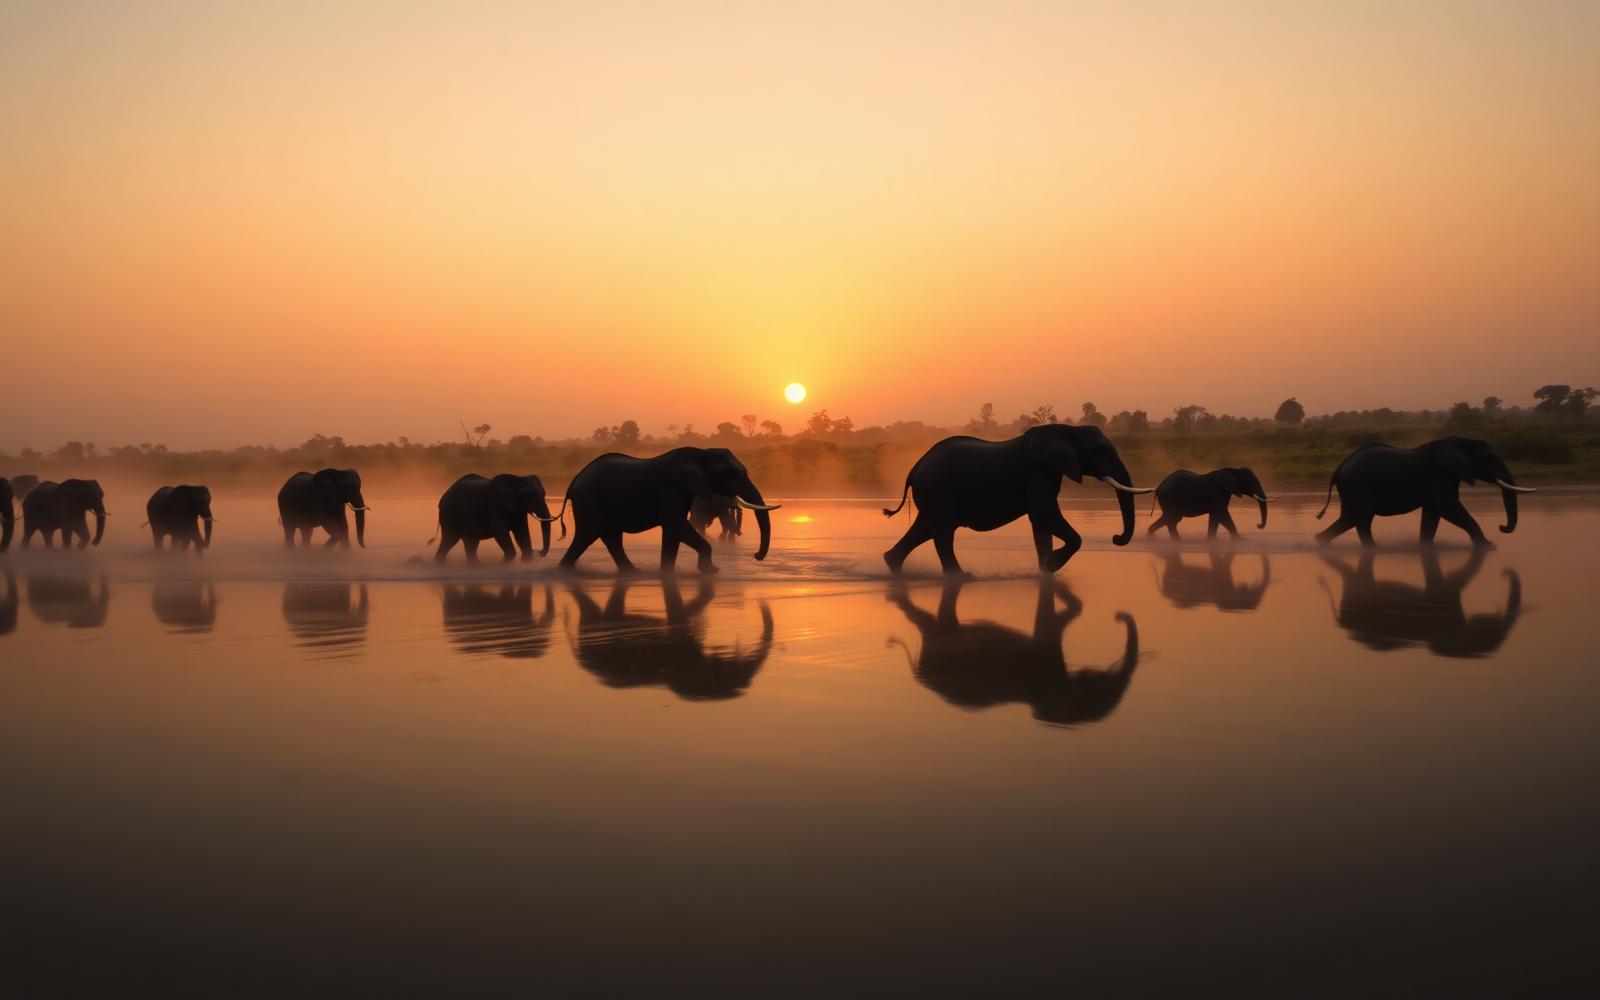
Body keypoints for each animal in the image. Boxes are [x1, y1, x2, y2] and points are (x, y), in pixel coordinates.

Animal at [432, 474, 562, 563]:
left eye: (544, 494)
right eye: (528, 495)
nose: (538, 552)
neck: (516, 479)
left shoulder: (518, 509)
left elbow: (522, 532)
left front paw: (526, 561)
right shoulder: (494, 506)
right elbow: (500, 532)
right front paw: (505, 562)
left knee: (470, 542)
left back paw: (475, 565)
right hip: (448, 513)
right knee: (450, 539)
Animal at [557, 447, 779, 574]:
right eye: (728, 472)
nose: (756, 555)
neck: (700, 453)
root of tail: (575, 480)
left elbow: (673, 531)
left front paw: (667, 573)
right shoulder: (670, 489)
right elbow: (675, 523)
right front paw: (712, 571)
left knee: (610, 538)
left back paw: (632, 572)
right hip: (588, 501)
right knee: (587, 536)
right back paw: (565, 572)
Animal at [882, 424, 1151, 576]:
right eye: (1100, 450)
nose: (1116, 538)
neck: (1065, 430)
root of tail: (915, 467)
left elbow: (1041, 525)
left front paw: (1045, 570)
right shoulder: (1036, 475)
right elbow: (1045, 515)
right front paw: (1051, 565)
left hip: (933, 494)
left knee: (925, 529)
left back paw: (892, 565)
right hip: (938, 490)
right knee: (942, 533)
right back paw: (961, 577)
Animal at [1315, 437, 1535, 548]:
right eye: (1490, 458)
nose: (1501, 527)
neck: (1460, 441)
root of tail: (1338, 469)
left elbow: (1433, 513)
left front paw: (1425, 548)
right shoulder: (1439, 474)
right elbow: (1448, 507)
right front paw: (1488, 546)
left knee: (1357, 520)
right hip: (1356, 485)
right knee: (1357, 518)